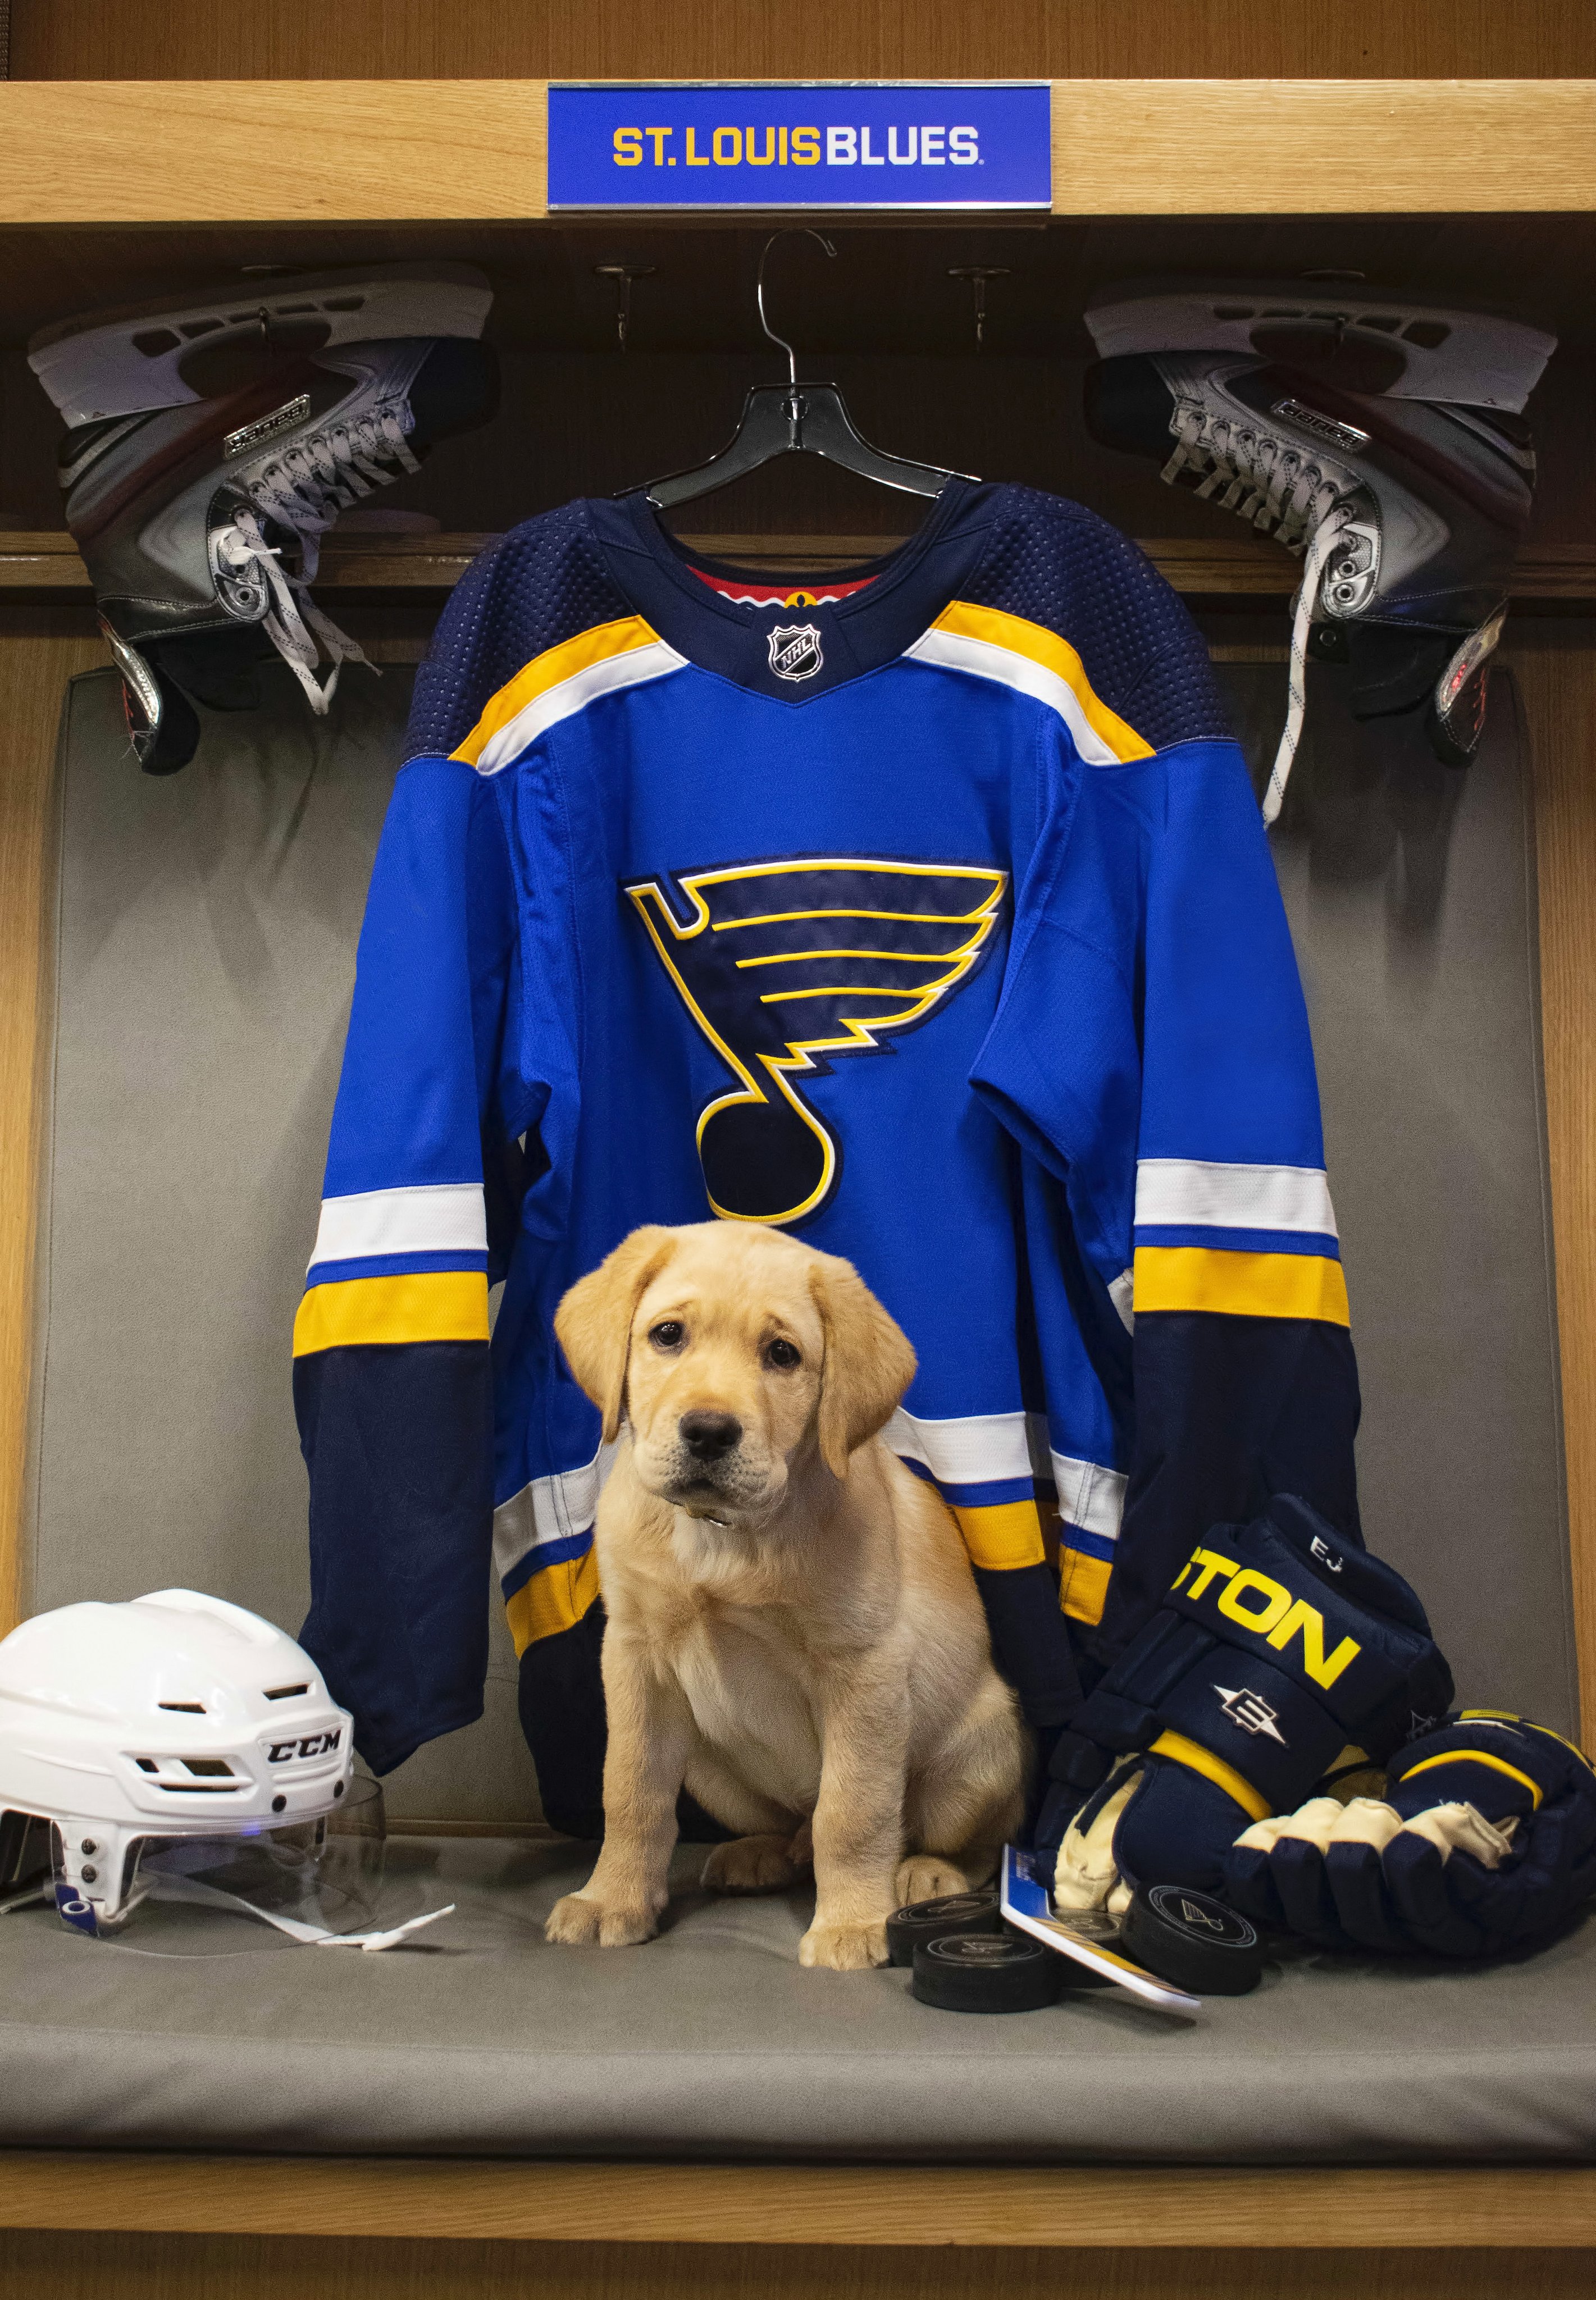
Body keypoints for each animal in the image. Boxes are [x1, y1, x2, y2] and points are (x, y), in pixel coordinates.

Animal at [547, 1214, 1025, 1969]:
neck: (719, 1537)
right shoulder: (634, 1656)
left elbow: (854, 1809)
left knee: (964, 1839)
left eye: (781, 1353)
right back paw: (766, 1852)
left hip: (980, 1754)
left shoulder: (861, 1669)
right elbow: (629, 1792)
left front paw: (852, 1923)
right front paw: (611, 1900)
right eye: (667, 1334)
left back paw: (925, 1872)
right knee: (798, 1823)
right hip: (709, 1767)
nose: (709, 1431)